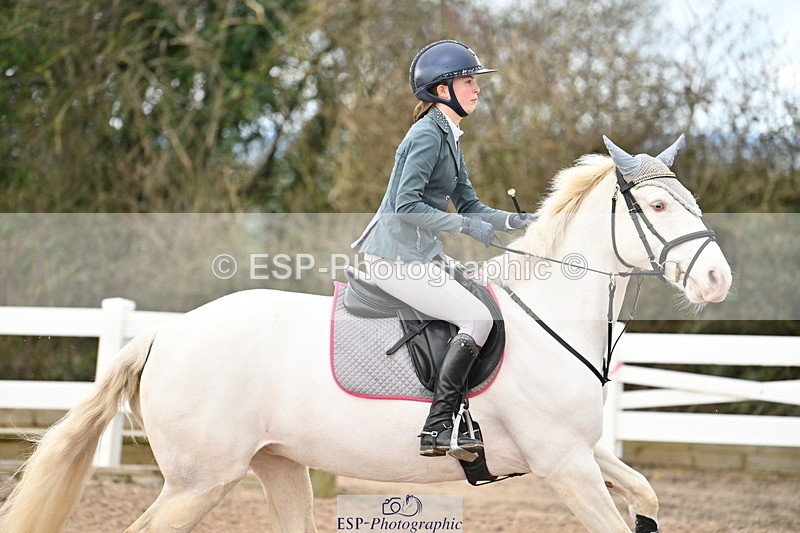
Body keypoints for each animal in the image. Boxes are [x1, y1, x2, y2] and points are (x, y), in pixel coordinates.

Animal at [0, 135, 732, 533]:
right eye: (658, 205)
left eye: (693, 201)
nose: (718, 279)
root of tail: (164, 336)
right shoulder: (563, 462)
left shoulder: (578, 450)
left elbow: (645, 493)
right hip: (197, 482)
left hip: (277, 464)